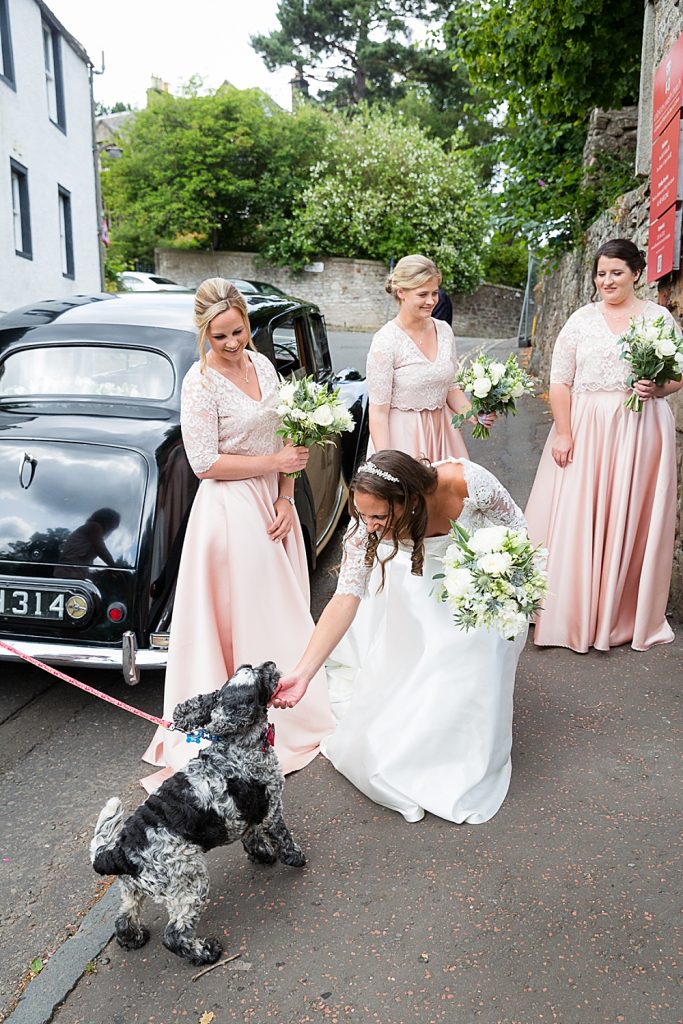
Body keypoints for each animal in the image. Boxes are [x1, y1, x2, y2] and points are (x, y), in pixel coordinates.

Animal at [90, 663, 305, 966]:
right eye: (260, 681)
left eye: (248, 667)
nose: (270, 664)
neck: (237, 747)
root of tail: (119, 851)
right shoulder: (272, 807)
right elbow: (282, 835)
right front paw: (295, 857)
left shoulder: (244, 814)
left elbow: (251, 836)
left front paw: (262, 855)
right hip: (190, 883)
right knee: (174, 934)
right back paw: (205, 952)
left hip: (132, 887)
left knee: (124, 917)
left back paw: (133, 939)